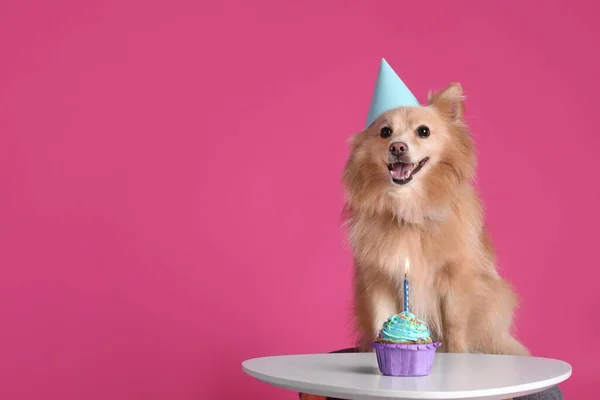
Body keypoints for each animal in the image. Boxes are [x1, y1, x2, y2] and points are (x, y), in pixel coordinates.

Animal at [342, 82, 528, 356]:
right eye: (385, 132)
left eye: (423, 131)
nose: (397, 147)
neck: (410, 210)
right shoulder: (380, 280)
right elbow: (379, 319)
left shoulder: (454, 281)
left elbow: (454, 326)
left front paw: (457, 356)